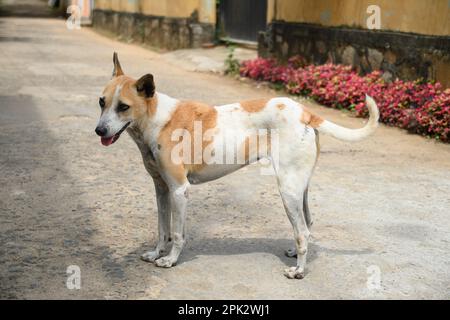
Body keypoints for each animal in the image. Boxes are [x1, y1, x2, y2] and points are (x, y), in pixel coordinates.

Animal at [95, 52, 380, 278]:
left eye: (123, 107)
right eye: (101, 102)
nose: (99, 130)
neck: (157, 117)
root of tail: (304, 112)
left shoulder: (179, 190)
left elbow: (176, 233)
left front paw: (170, 260)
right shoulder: (161, 190)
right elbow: (161, 228)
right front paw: (156, 253)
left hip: (287, 191)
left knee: (302, 232)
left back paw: (299, 270)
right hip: (300, 188)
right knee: (307, 223)